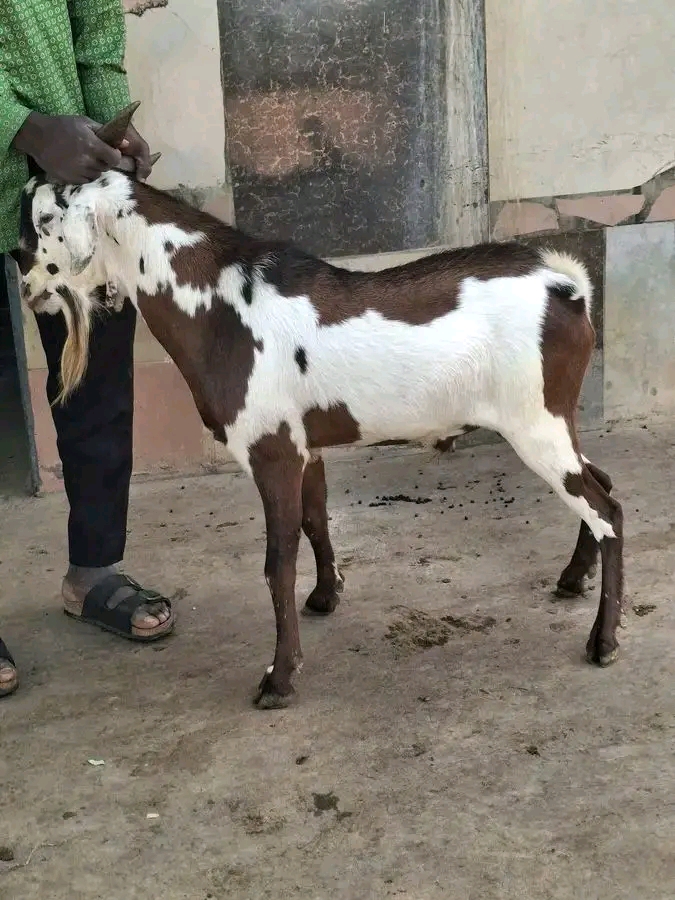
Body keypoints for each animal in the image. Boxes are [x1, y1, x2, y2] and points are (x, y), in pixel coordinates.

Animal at [16, 104, 624, 709]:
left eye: (36, 227)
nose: (24, 284)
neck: (220, 307)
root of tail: (567, 289)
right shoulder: (304, 447)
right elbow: (315, 522)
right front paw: (326, 596)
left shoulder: (272, 450)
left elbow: (277, 562)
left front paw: (279, 678)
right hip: (552, 419)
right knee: (601, 482)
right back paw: (573, 578)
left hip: (534, 420)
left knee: (607, 509)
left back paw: (603, 641)